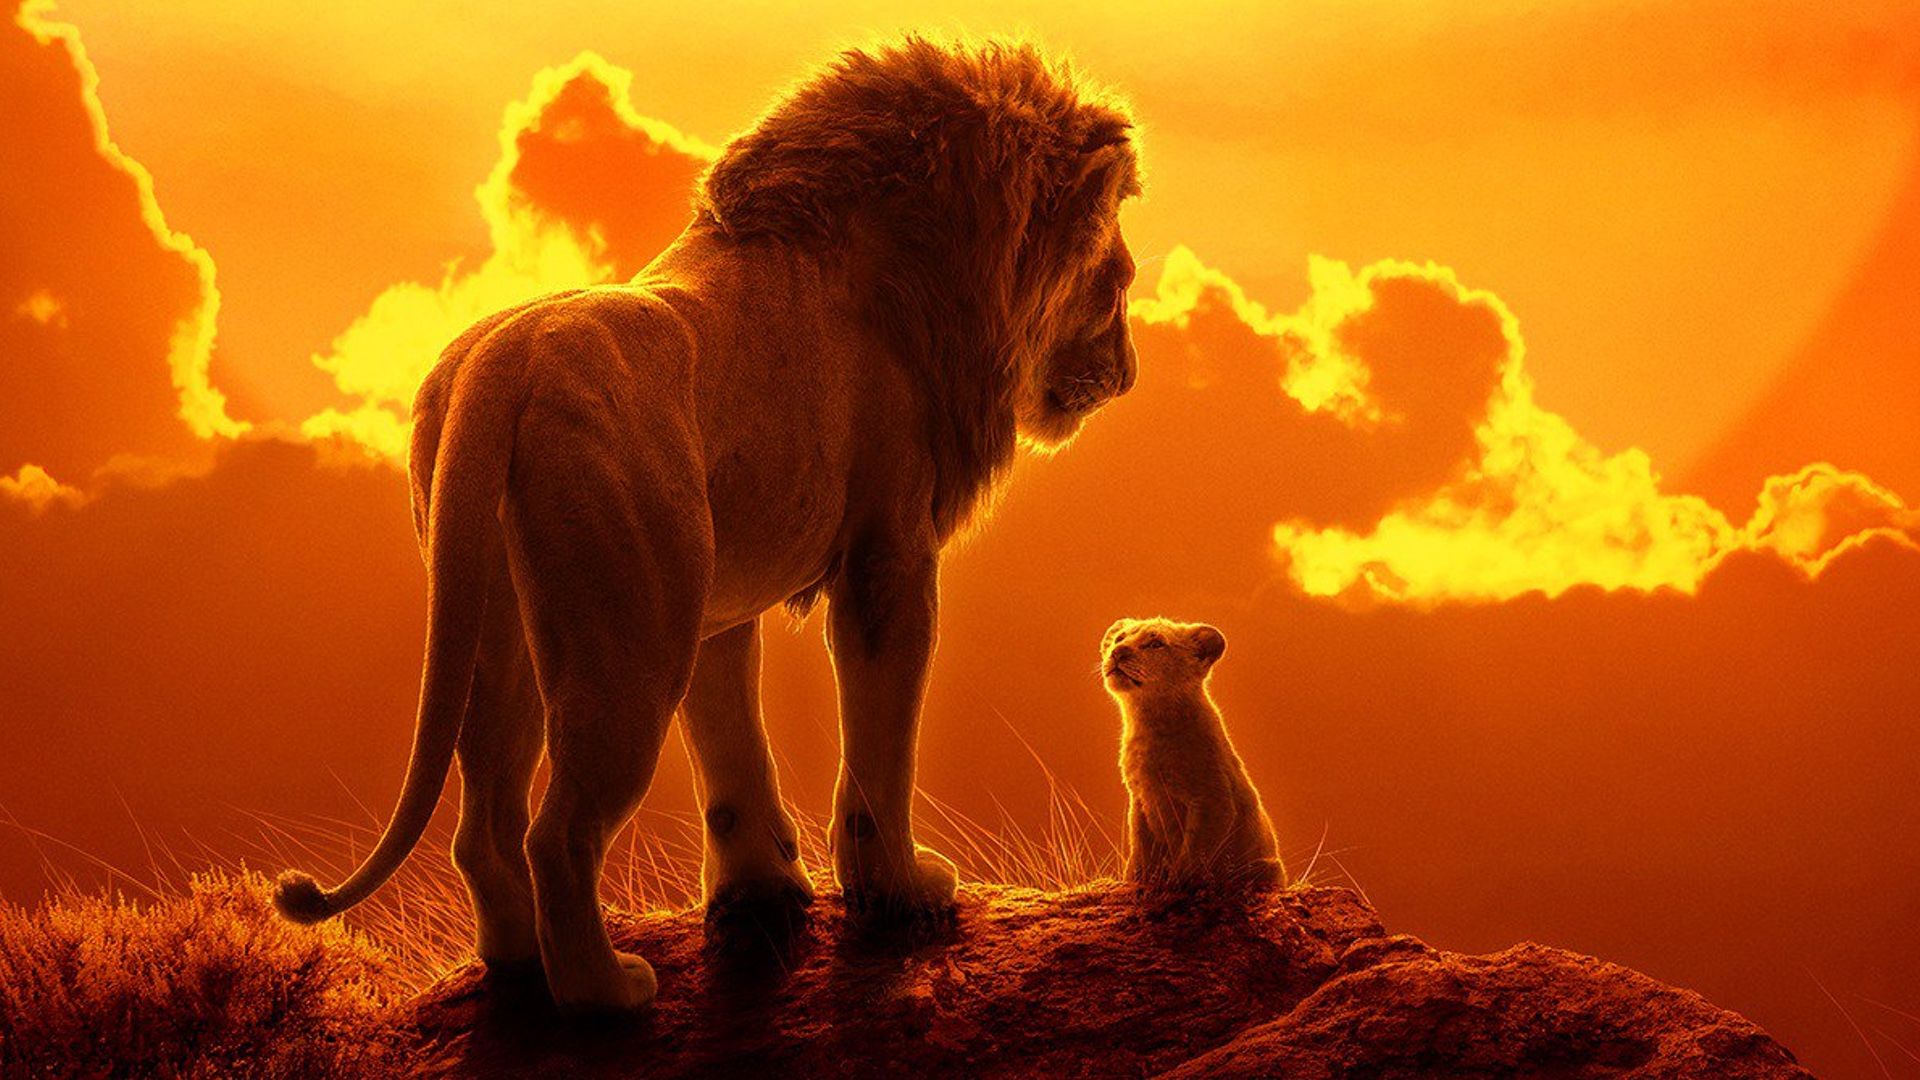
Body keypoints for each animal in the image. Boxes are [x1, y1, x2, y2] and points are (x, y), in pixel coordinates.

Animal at [273, 37, 1142, 1012]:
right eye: (1118, 283)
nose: (1129, 372)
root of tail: (501, 368)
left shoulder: (717, 600)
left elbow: (731, 750)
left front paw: (761, 892)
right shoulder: (889, 556)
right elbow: (879, 748)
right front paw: (902, 892)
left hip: (504, 627)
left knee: (487, 822)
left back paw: (519, 967)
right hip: (630, 643)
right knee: (558, 832)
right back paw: (605, 993)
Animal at [1102, 618, 1283, 889]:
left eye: (1156, 643)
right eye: (1120, 638)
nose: (1117, 652)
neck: (1147, 721)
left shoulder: (1212, 799)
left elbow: (1194, 851)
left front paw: (1177, 884)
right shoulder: (1140, 799)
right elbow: (1141, 847)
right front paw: (1139, 880)